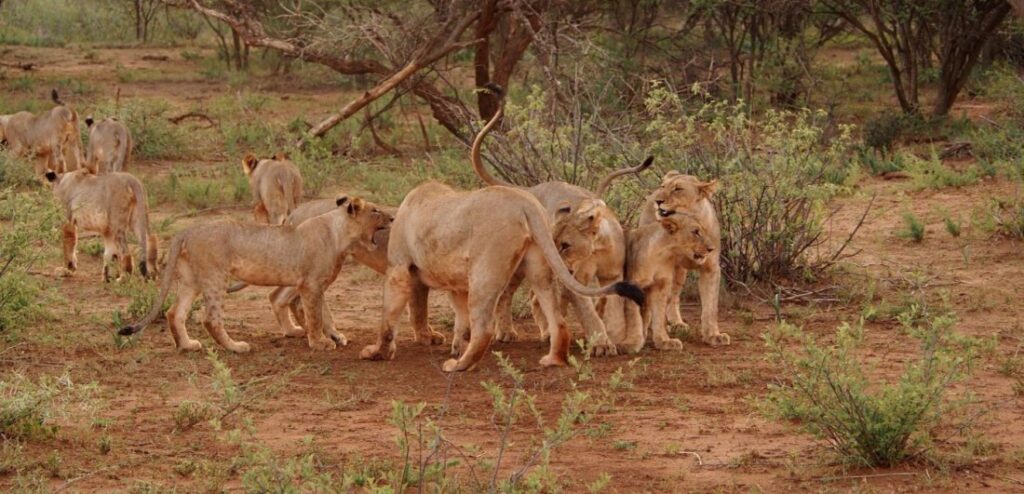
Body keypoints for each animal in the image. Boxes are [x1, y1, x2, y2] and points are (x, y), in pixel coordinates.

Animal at [117, 194, 391, 352]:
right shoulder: (311, 284)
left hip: (190, 279)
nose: (391, 217)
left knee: (175, 313)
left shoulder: (313, 284)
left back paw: (187, 346)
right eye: (376, 210)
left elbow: (321, 314)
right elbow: (314, 316)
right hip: (215, 277)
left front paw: (331, 337)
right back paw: (236, 347)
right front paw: (320, 343)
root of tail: (188, 230)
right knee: (211, 319)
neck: (340, 234)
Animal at [358, 179, 638, 373]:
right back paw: (552, 360)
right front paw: (456, 344)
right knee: (558, 320)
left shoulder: (399, 267)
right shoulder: (457, 284)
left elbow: (394, 315)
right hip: (539, 269)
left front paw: (377, 352)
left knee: (484, 328)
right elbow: (459, 319)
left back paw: (459, 366)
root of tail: (526, 202)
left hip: (484, 270)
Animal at [618, 212, 716, 350]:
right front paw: (632, 342)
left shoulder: (661, 285)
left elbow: (659, 314)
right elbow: (633, 315)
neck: (662, 253)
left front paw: (663, 341)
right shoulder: (632, 284)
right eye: (695, 232)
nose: (711, 249)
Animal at [634, 172, 733, 346]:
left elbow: (710, 305)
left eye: (678, 189)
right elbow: (660, 301)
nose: (657, 201)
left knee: (673, 296)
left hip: (680, 273)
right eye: (663, 186)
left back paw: (677, 323)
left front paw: (713, 335)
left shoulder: (711, 268)